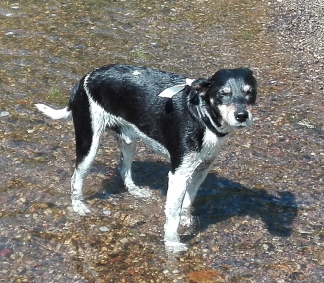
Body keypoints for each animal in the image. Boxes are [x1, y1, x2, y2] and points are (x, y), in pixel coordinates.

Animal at [35, 64, 256, 253]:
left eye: (250, 92)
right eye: (223, 94)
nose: (242, 115)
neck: (202, 116)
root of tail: (84, 80)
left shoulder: (200, 170)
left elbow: (187, 201)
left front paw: (186, 220)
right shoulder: (178, 174)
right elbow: (172, 213)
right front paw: (172, 242)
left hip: (128, 141)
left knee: (123, 169)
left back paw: (135, 190)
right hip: (89, 145)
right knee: (76, 178)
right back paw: (78, 205)